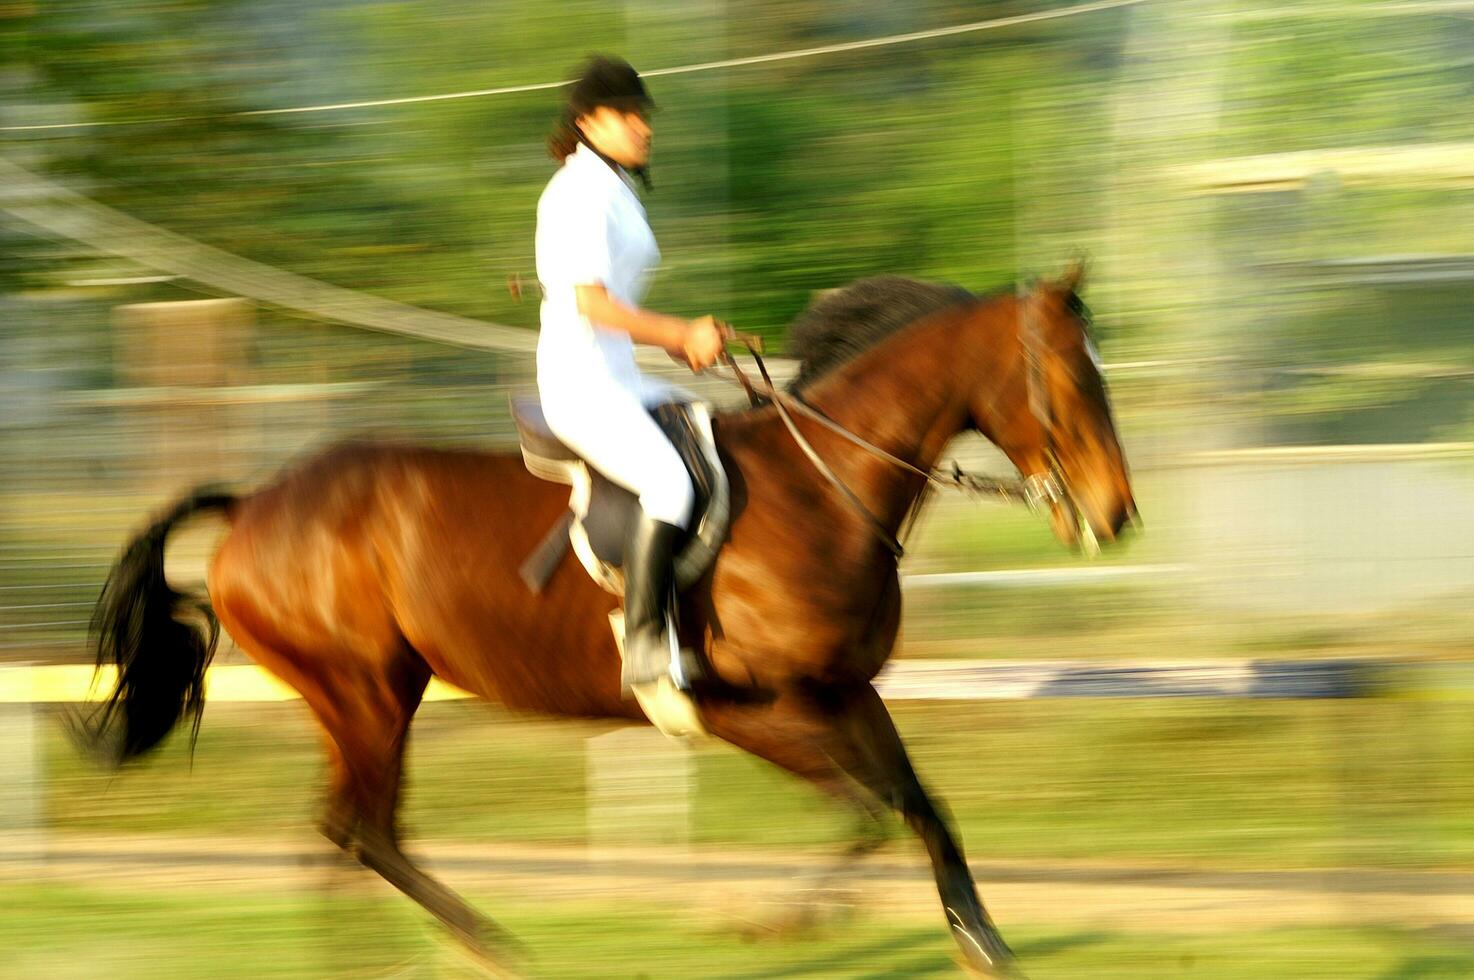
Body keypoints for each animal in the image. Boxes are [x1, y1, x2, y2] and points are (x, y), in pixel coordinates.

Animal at [83, 263, 1137, 972]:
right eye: (1076, 381)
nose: (1117, 512)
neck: (823, 490)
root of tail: (254, 503)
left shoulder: (843, 691)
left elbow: (920, 806)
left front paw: (981, 940)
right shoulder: (748, 705)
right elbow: (868, 809)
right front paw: (774, 921)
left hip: (365, 696)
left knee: (340, 833)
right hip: (365, 692)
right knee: (365, 831)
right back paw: (494, 947)